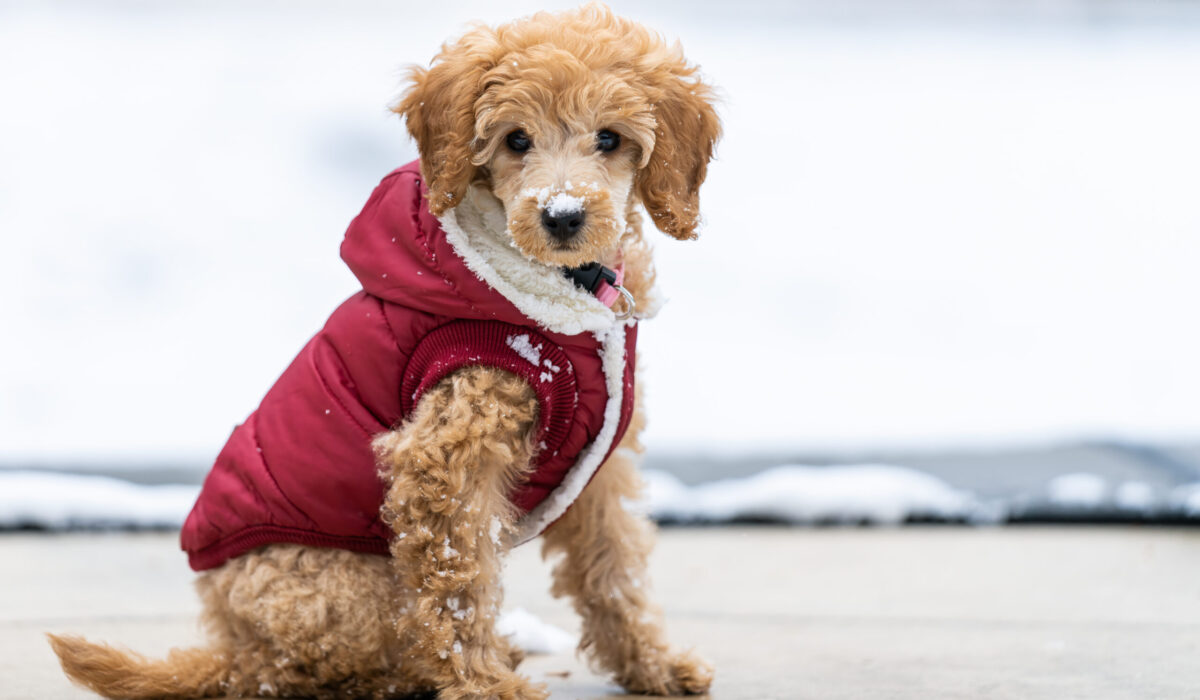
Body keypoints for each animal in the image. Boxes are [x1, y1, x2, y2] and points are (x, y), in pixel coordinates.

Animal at [46, 5, 715, 700]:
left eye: (609, 139)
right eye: (516, 141)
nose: (562, 216)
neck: (560, 300)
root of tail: (240, 652)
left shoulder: (601, 467)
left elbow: (614, 567)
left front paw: (653, 665)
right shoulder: (446, 457)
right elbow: (458, 588)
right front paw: (483, 685)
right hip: (344, 584)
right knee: (356, 659)